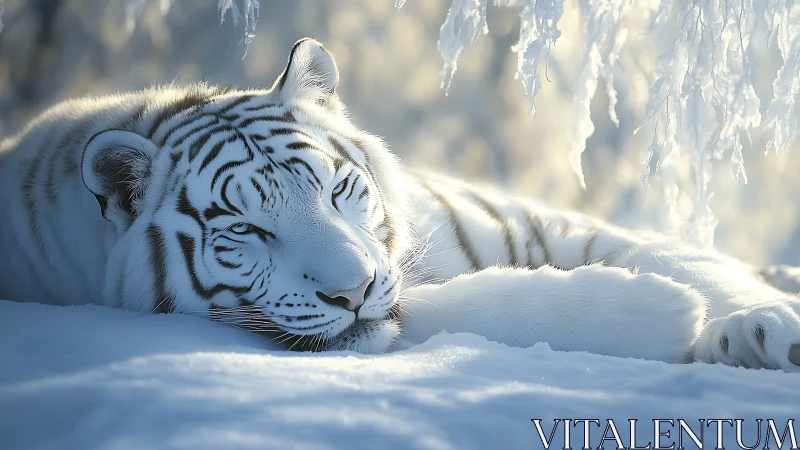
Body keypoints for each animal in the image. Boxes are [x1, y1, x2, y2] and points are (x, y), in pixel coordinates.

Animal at [2, 38, 800, 371]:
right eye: (248, 229)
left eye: (333, 188)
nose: (353, 290)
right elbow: (471, 308)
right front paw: (660, 314)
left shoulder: (544, 223)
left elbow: (686, 259)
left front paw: (763, 328)